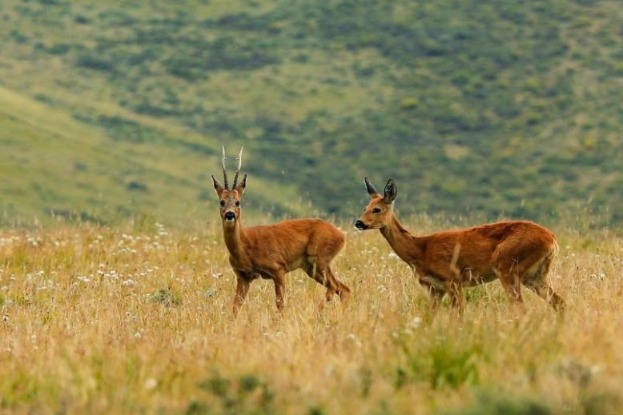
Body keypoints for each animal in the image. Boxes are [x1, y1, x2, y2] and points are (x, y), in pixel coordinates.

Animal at [212, 148, 352, 314]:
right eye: (221, 202)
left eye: (238, 202)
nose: (230, 214)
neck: (245, 247)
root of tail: (341, 235)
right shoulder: (243, 276)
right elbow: (235, 307)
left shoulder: (278, 268)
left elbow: (280, 304)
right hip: (312, 266)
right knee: (344, 289)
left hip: (320, 259)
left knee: (335, 287)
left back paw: (316, 312)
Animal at [356, 177, 564, 314]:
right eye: (365, 207)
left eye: (377, 209)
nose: (359, 222)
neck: (420, 250)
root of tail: (552, 240)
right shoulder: (434, 288)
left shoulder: (452, 279)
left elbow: (458, 315)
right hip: (535, 275)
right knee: (559, 302)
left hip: (508, 267)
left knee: (520, 307)